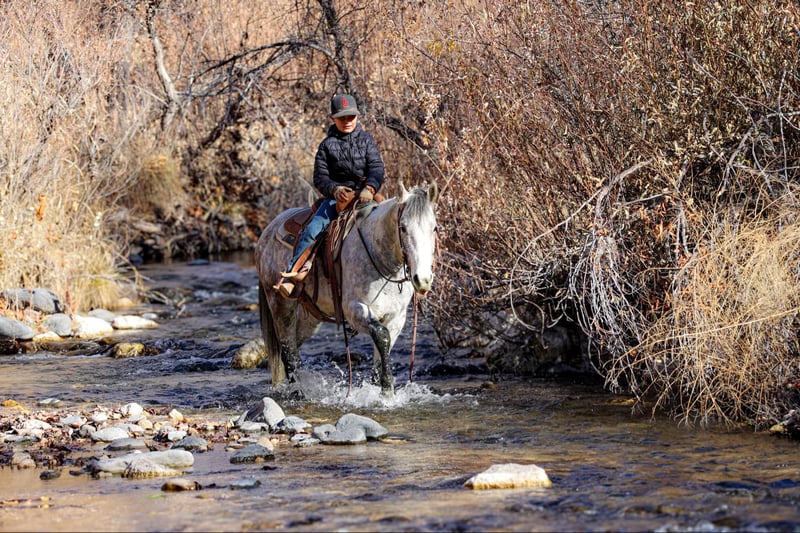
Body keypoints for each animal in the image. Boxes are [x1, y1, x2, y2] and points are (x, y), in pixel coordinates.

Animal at [254, 181, 439, 397]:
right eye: (403, 228)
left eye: (434, 228)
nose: (423, 279)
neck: (381, 260)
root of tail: (267, 232)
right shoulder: (354, 310)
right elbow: (381, 337)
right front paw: (387, 390)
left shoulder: (396, 318)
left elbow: (382, 351)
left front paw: (381, 390)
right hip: (280, 304)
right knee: (288, 351)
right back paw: (298, 392)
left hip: (311, 317)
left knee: (294, 344)